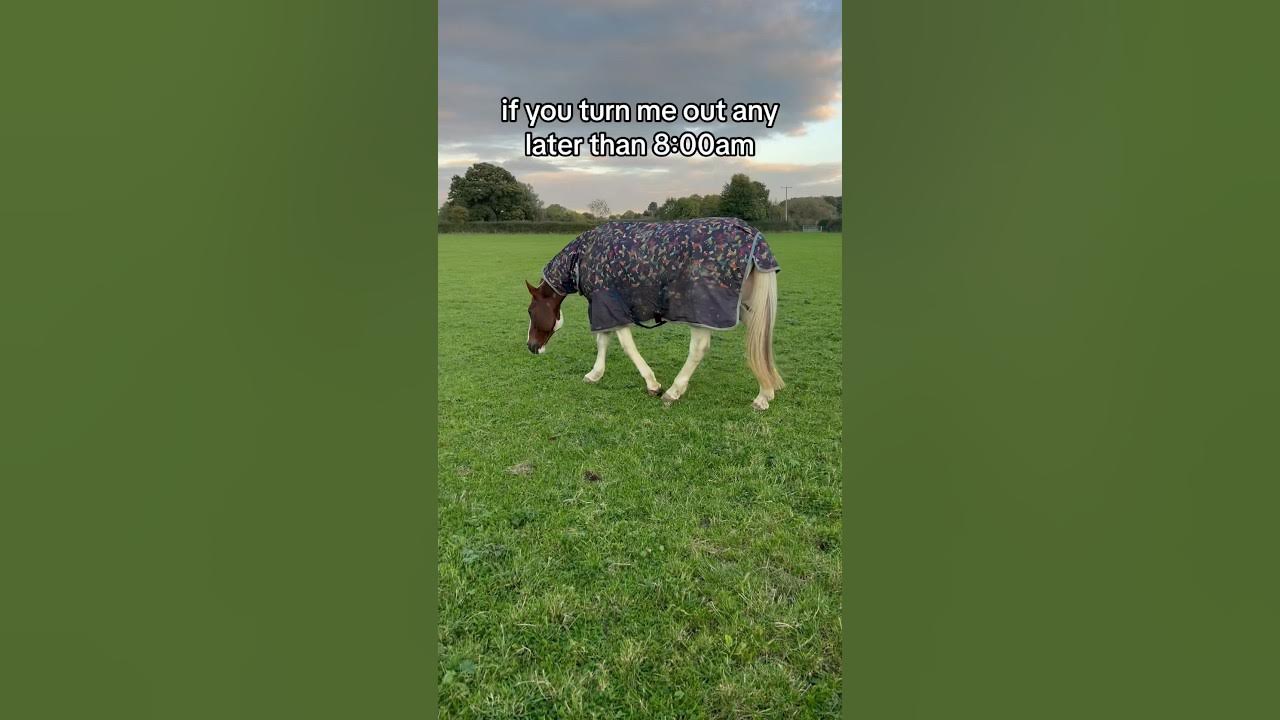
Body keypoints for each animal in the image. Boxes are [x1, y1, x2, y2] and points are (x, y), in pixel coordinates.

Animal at [525, 217, 784, 410]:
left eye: (530, 311)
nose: (531, 346)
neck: (583, 256)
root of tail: (754, 238)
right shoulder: (605, 308)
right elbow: (603, 340)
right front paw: (595, 374)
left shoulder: (610, 306)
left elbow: (625, 345)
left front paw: (652, 384)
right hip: (742, 307)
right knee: (760, 338)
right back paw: (765, 393)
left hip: (702, 311)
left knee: (699, 349)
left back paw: (674, 391)